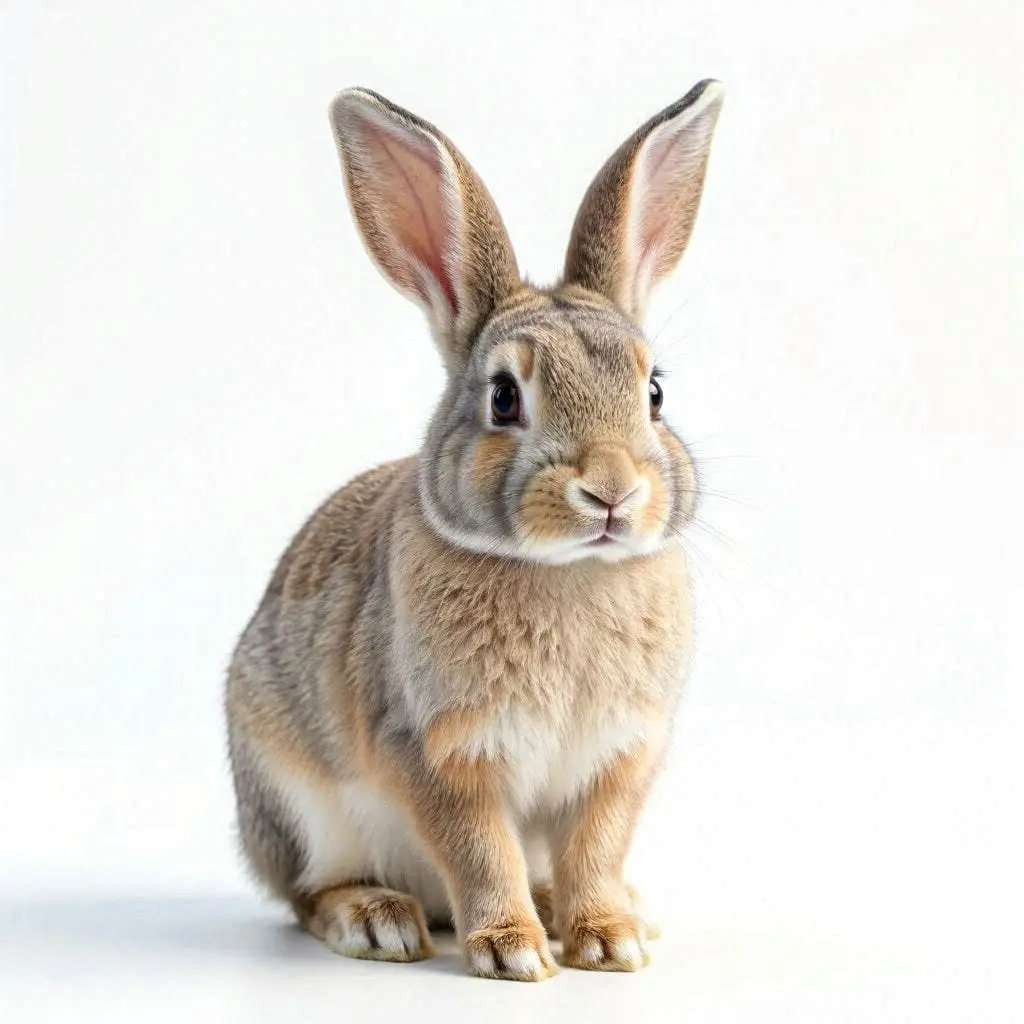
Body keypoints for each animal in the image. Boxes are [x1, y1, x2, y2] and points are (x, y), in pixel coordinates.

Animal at [225, 79, 724, 981]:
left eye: (655, 392)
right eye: (503, 397)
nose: (611, 490)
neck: (569, 571)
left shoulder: (620, 758)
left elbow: (597, 848)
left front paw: (610, 938)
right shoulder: (437, 752)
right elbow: (479, 850)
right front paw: (514, 952)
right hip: (297, 801)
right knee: (310, 892)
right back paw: (377, 921)